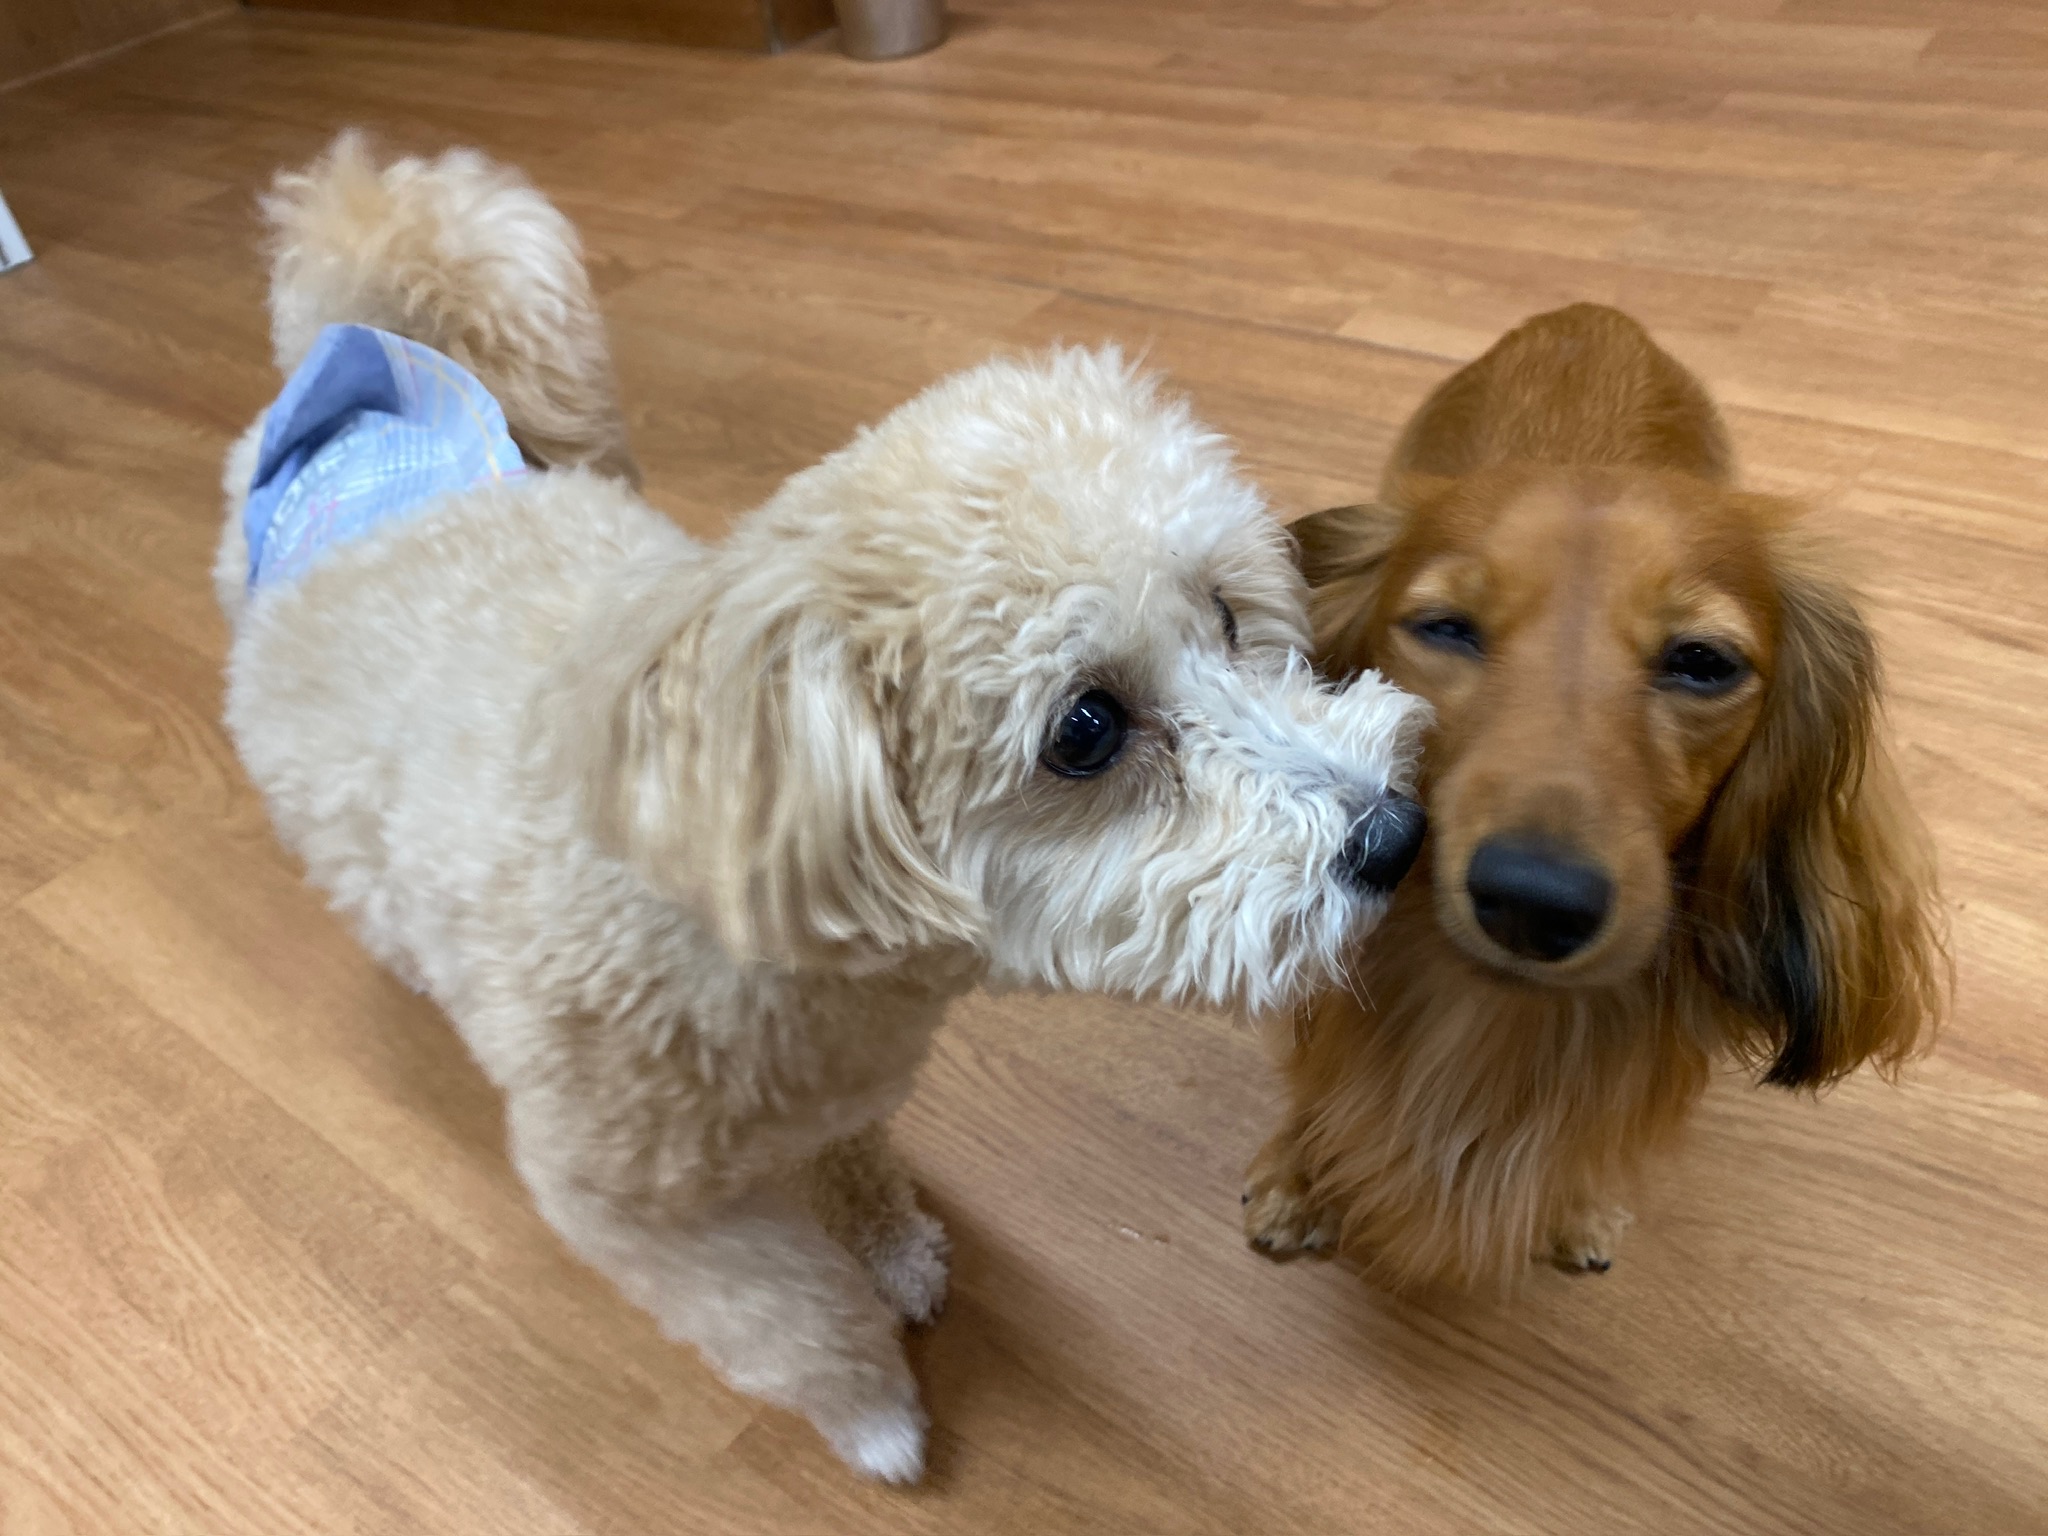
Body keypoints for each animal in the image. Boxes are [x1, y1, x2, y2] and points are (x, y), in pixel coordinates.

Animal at [215, 134, 1429, 1481]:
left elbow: (856, 1170)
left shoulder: (842, 1097)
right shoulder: (636, 1212)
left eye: (1224, 613)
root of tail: (363, 386)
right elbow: (792, 1321)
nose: (1396, 835)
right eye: (1084, 730)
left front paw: (895, 1253)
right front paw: (876, 1418)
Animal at [1241, 303, 1947, 1292]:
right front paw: (1299, 1179)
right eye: (1444, 627)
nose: (1532, 903)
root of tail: (1589, 316)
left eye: (1704, 661)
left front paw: (1579, 1207)